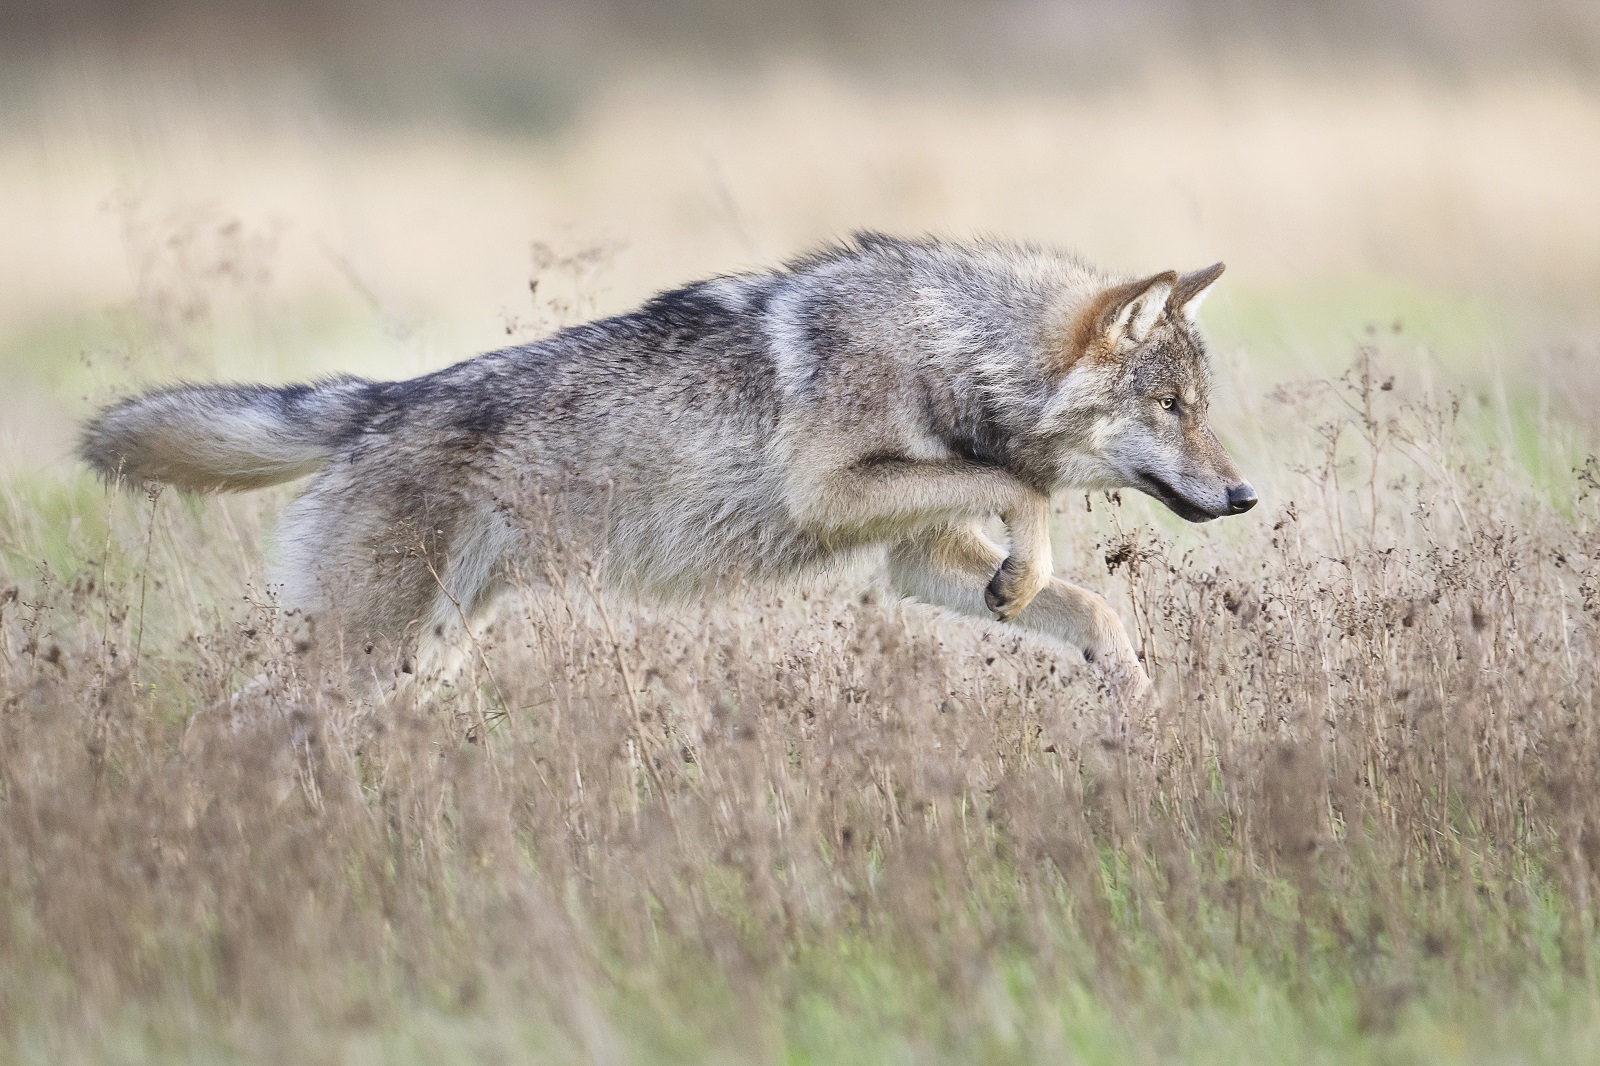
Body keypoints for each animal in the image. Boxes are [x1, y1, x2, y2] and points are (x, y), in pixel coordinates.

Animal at [80, 233, 1257, 703]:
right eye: (1171, 410)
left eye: (1202, 412)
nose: (1246, 495)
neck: (952, 347)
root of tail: (376, 400)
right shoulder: (830, 490)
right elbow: (1019, 488)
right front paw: (1029, 564)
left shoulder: (914, 560)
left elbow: (1093, 607)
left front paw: (1131, 700)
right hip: (367, 656)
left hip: (420, 658)